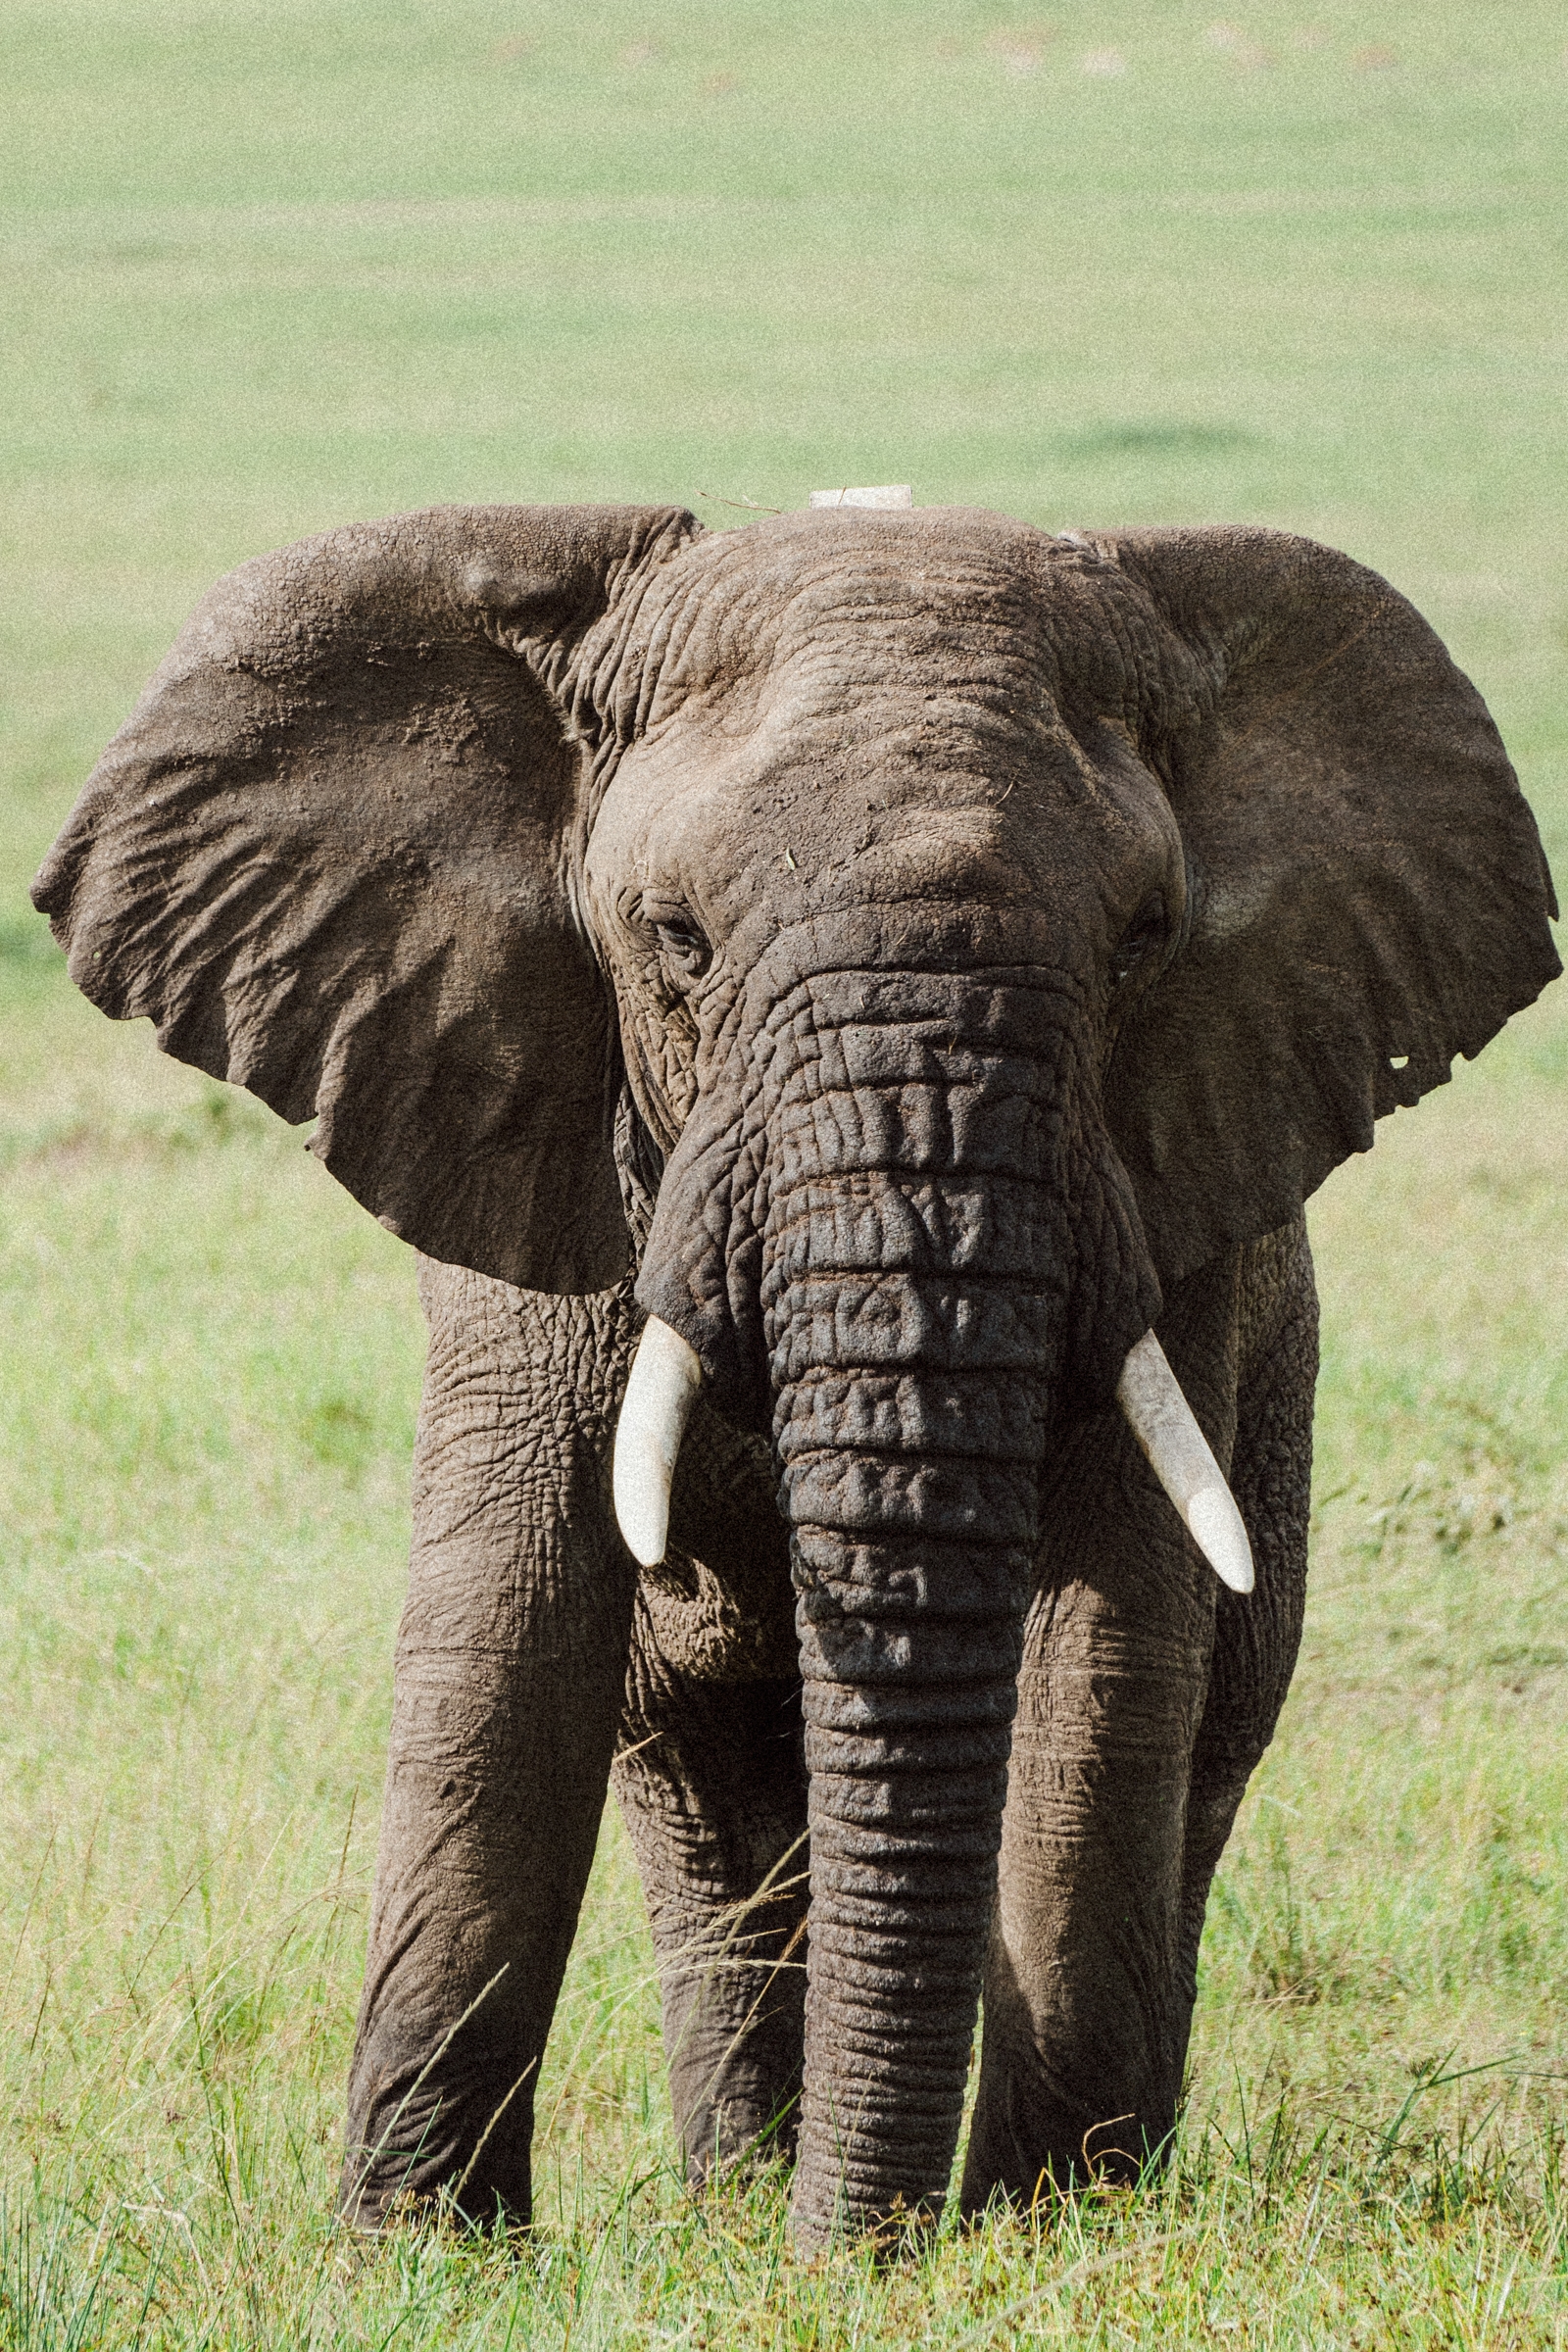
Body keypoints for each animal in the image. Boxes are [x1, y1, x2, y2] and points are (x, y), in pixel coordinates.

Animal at [33, 497, 1559, 2245]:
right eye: (676, 943)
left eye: (1143, 945)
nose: (863, 2260)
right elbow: (508, 1628)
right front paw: (417, 2251)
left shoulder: (1183, 1192)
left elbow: (1107, 1657)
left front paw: (1050, 2234)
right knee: (702, 1791)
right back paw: (735, 2196)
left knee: (1196, 1760)